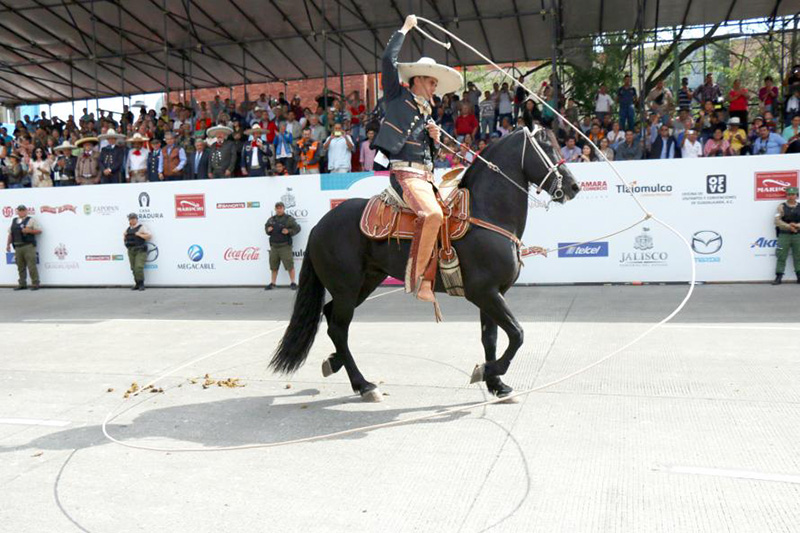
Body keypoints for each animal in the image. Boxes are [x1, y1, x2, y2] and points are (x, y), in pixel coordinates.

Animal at [272, 128, 580, 400]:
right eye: (547, 147)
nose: (574, 186)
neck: (485, 216)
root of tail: (319, 226)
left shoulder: (494, 294)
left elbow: (491, 338)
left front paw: (497, 385)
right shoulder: (484, 293)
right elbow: (517, 334)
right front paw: (487, 371)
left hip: (365, 283)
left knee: (332, 318)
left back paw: (337, 364)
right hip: (347, 288)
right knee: (338, 327)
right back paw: (364, 385)